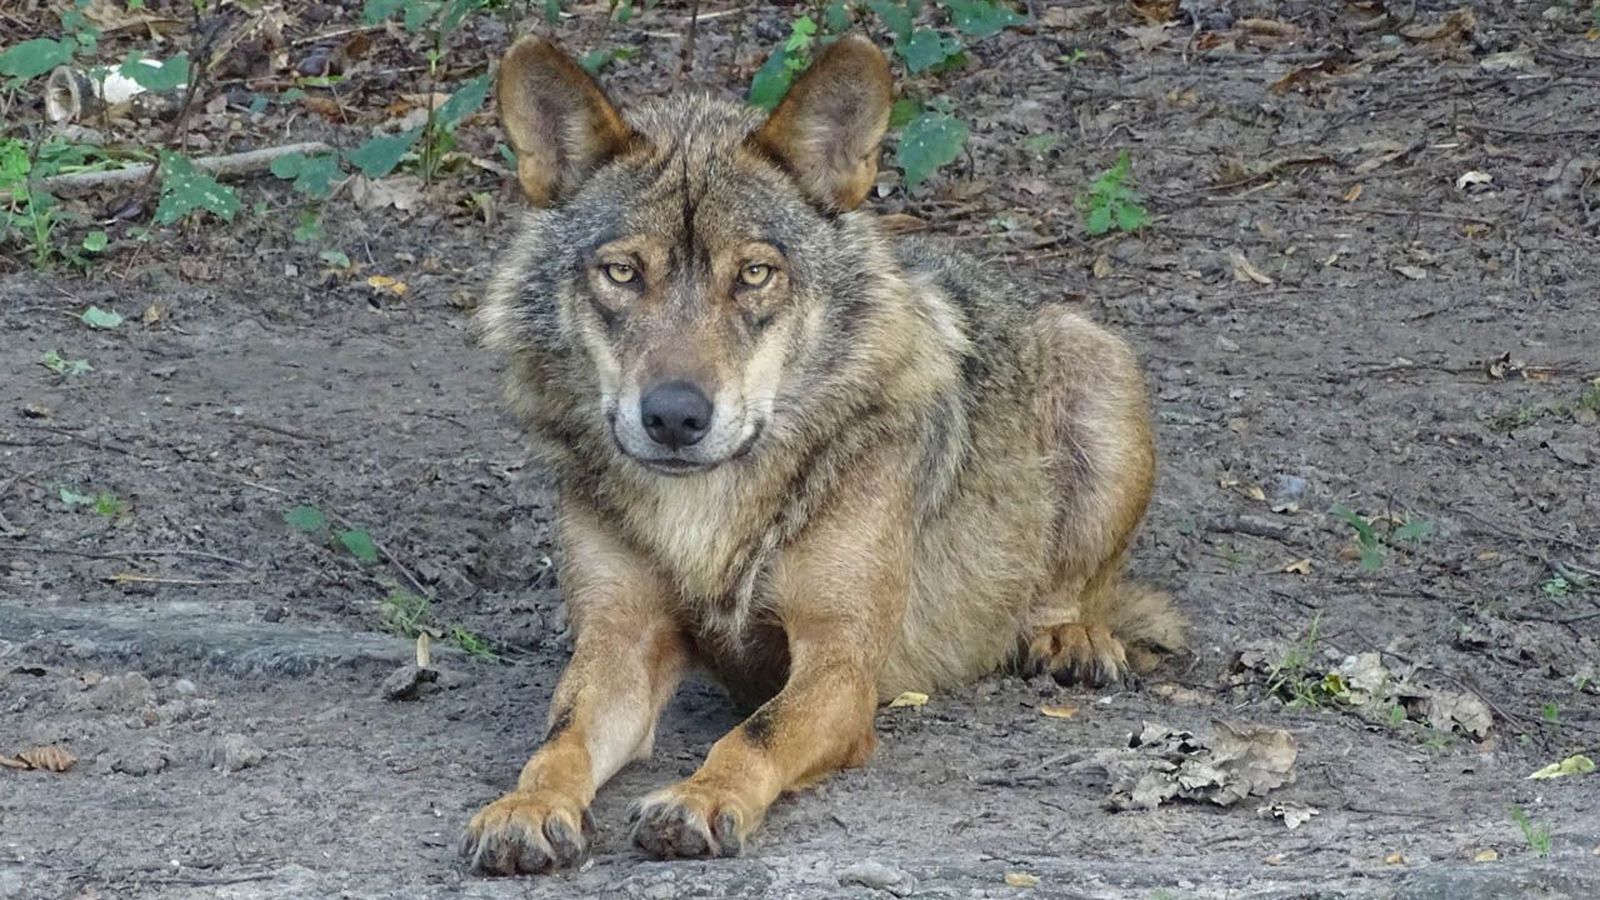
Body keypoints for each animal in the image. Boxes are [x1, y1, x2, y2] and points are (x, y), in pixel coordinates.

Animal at [460, 32, 1185, 874]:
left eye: (754, 275)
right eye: (622, 272)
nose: (674, 416)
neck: (707, 514)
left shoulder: (840, 662)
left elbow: (755, 734)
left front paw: (700, 798)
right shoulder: (618, 642)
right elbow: (561, 737)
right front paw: (527, 806)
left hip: (1099, 363)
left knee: (1076, 589)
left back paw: (1068, 636)